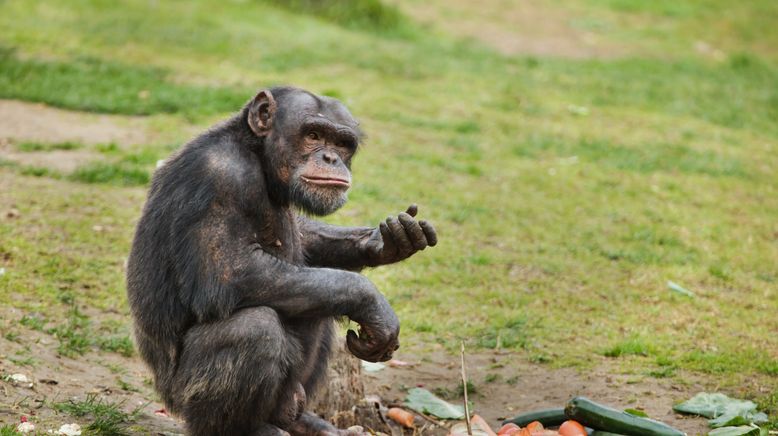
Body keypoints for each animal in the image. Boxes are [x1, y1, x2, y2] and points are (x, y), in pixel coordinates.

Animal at [124, 86, 434, 436]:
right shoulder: (218, 177)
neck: (257, 156)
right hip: (183, 399)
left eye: (342, 143)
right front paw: (373, 305)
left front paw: (383, 240)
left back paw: (303, 422)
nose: (330, 158)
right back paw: (247, 430)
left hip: (290, 396)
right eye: (313, 135)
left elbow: (303, 236)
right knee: (255, 328)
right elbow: (230, 272)